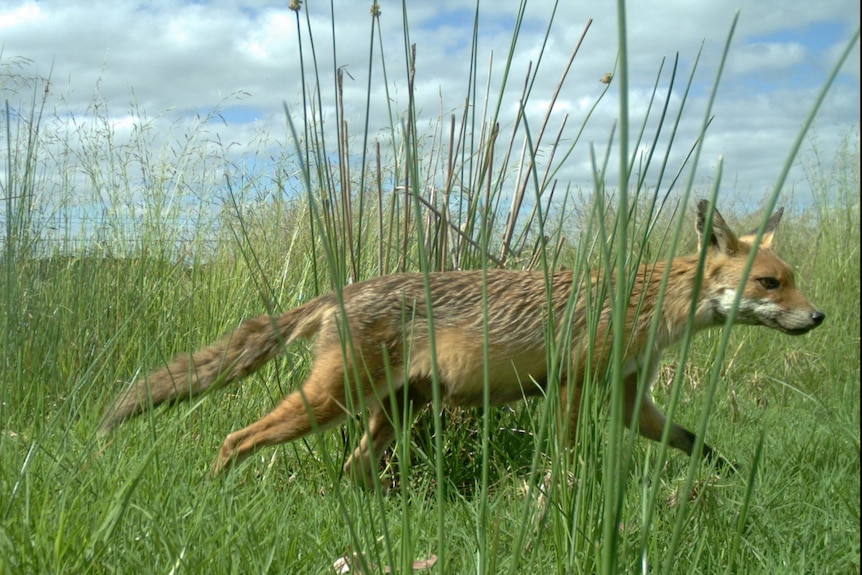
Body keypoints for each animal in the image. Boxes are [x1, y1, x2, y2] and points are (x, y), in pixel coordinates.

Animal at [98, 200, 824, 484]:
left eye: (792, 278)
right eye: (770, 282)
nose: (818, 317)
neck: (645, 304)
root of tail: (343, 291)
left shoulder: (627, 399)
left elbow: (696, 442)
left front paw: (736, 475)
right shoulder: (570, 384)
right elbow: (567, 454)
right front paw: (565, 494)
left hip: (393, 412)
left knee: (350, 470)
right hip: (331, 402)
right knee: (236, 437)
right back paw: (214, 489)